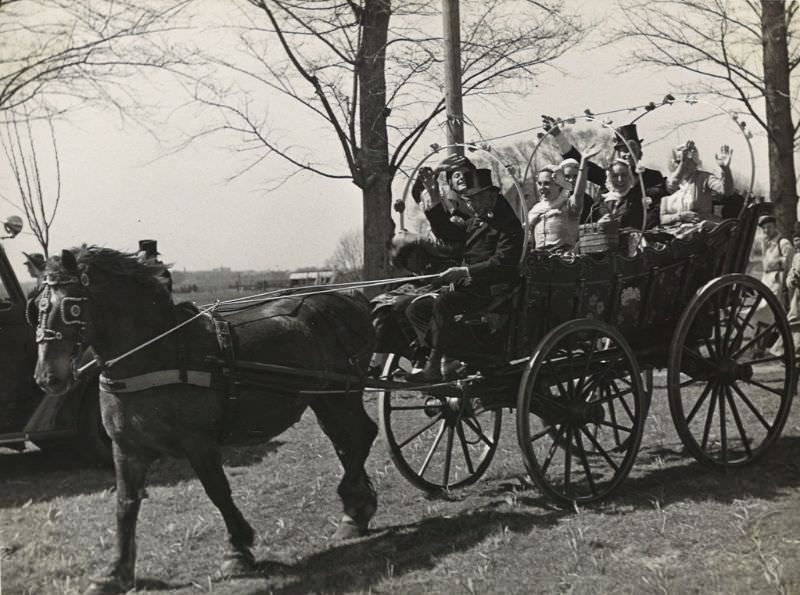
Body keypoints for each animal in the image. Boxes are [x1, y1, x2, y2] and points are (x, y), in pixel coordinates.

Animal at [31, 246, 378, 592]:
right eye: (36, 306)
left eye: (72, 307)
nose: (48, 377)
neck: (157, 355)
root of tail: (350, 297)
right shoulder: (126, 448)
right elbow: (125, 504)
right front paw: (114, 572)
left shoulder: (199, 443)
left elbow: (218, 491)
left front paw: (237, 550)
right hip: (324, 398)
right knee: (346, 441)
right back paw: (355, 511)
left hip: (342, 394)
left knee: (362, 435)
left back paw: (352, 503)